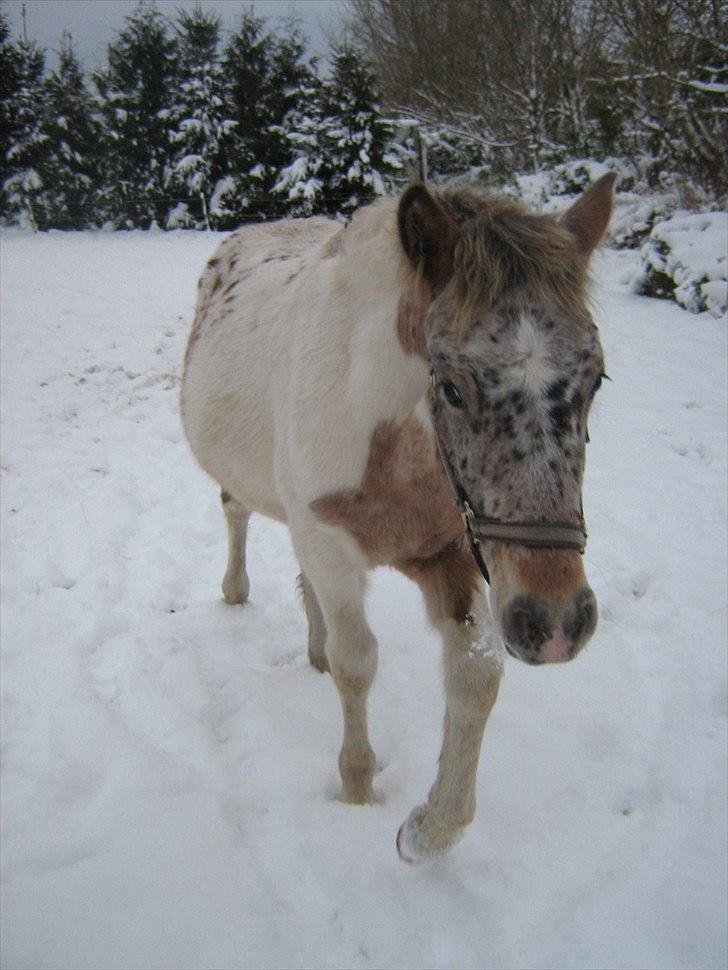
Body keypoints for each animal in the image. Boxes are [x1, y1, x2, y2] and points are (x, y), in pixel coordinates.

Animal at [181, 174, 616, 864]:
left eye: (595, 379)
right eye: (453, 387)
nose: (555, 624)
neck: (391, 449)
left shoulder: (454, 552)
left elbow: (476, 674)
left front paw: (428, 828)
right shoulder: (332, 548)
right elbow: (357, 663)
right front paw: (357, 791)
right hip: (250, 487)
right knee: (236, 511)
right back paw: (236, 589)